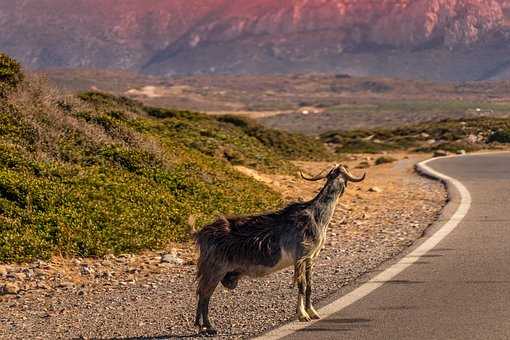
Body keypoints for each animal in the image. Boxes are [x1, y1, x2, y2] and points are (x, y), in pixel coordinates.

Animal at [193, 164, 364, 334]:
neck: (316, 215)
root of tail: (201, 234)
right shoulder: (300, 256)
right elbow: (301, 285)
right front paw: (302, 315)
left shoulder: (310, 258)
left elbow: (309, 285)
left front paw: (312, 312)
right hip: (215, 269)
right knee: (204, 294)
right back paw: (208, 326)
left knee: (202, 293)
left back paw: (202, 326)